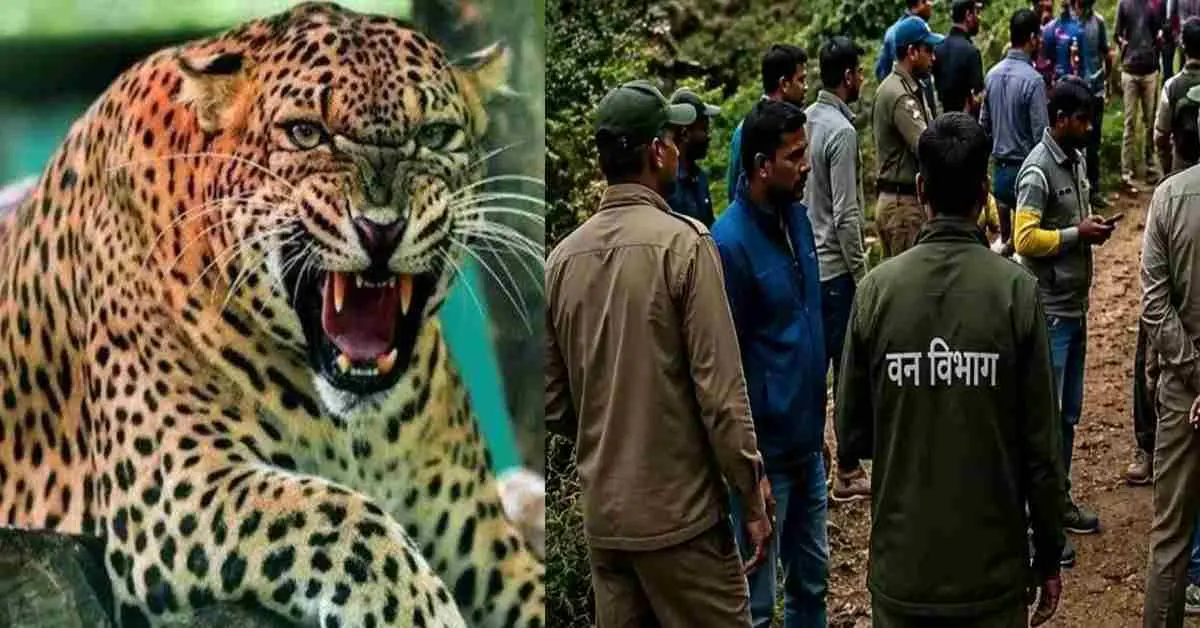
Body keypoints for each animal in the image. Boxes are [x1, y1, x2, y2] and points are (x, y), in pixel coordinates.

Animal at [0, 2, 544, 627]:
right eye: (307, 133)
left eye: (434, 135)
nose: (381, 227)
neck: (360, 433)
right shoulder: (173, 486)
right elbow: (344, 518)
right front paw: (427, 614)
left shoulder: (486, 545)